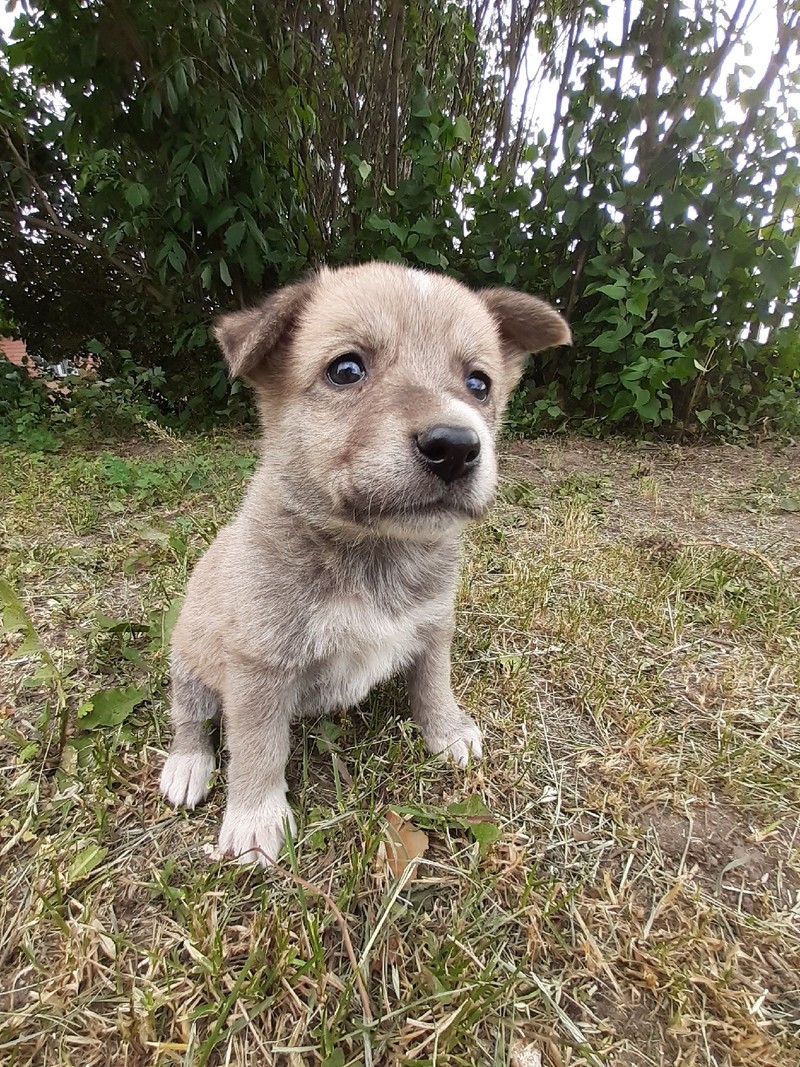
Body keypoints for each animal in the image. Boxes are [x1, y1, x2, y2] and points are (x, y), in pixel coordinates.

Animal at [160, 262, 571, 862]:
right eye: (346, 369)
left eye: (479, 383)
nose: (455, 446)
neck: (374, 553)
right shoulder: (259, 667)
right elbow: (258, 747)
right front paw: (255, 819)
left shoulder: (433, 626)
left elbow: (433, 684)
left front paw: (447, 731)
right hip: (189, 655)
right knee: (191, 715)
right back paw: (187, 765)